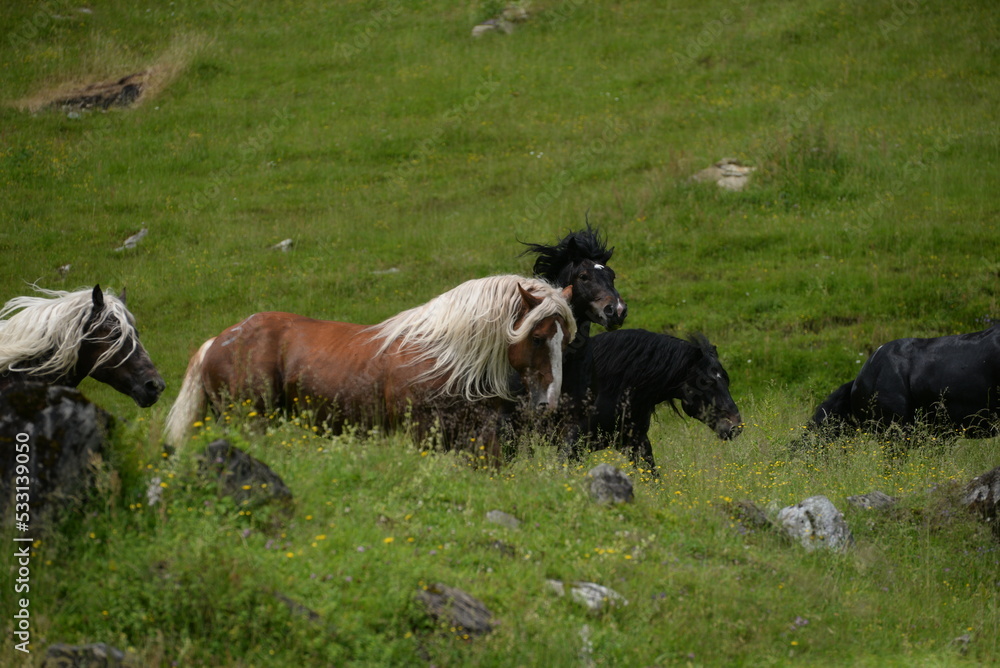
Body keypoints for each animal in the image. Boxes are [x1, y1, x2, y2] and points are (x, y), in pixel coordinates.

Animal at [164, 275, 576, 457]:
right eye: (537, 337)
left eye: (565, 339)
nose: (549, 402)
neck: (445, 360)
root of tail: (216, 341)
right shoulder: (420, 435)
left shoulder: (479, 440)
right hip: (250, 424)